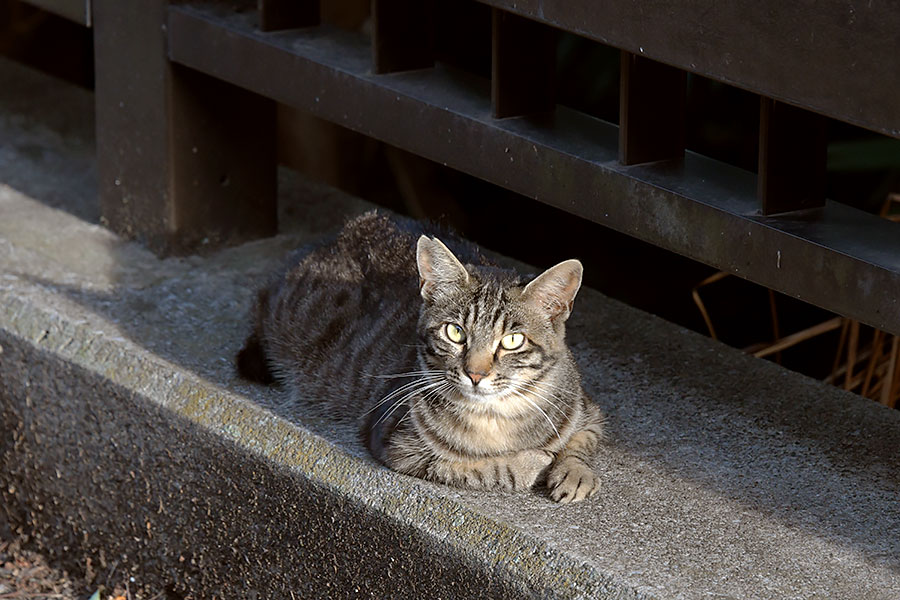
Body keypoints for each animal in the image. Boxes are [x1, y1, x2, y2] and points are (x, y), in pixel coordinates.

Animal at [239, 211, 604, 502]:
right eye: (455, 332)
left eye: (512, 340)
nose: (475, 374)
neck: (497, 418)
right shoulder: (398, 445)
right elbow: (480, 469)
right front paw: (532, 462)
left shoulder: (587, 409)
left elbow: (583, 440)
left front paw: (575, 472)